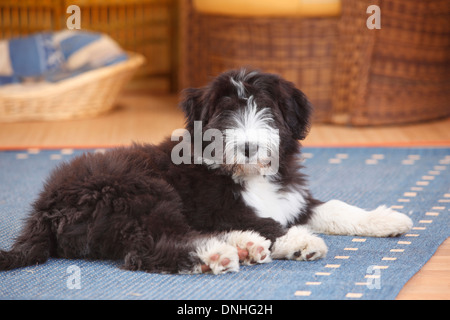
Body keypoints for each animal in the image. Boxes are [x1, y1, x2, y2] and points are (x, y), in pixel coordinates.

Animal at [0, 69, 414, 274]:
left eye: (267, 109)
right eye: (225, 114)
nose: (248, 146)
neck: (248, 175)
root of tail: (43, 210)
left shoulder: (293, 197)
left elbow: (333, 207)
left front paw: (386, 219)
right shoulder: (218, 206)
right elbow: (267, 222)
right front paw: (298, 241)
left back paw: (243, 247)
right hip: (140, 191)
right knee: (149, 249)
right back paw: (221, 254)